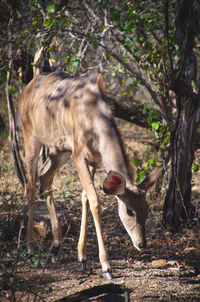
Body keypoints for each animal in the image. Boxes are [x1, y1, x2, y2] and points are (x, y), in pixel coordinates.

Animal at [18, 71, 161, 278]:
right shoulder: (79, 156)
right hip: (31, 139)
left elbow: (85, 197)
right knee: (30, 186)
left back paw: (56, 245)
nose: (142, 244)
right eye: (129, 211)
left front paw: (82, 258)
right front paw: (106, 266)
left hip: (59, 150)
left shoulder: (93, 159)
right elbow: (95, 201)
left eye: (147, 209)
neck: (94, 117)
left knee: (44, 178)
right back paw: (29, 250)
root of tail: (26, 89)